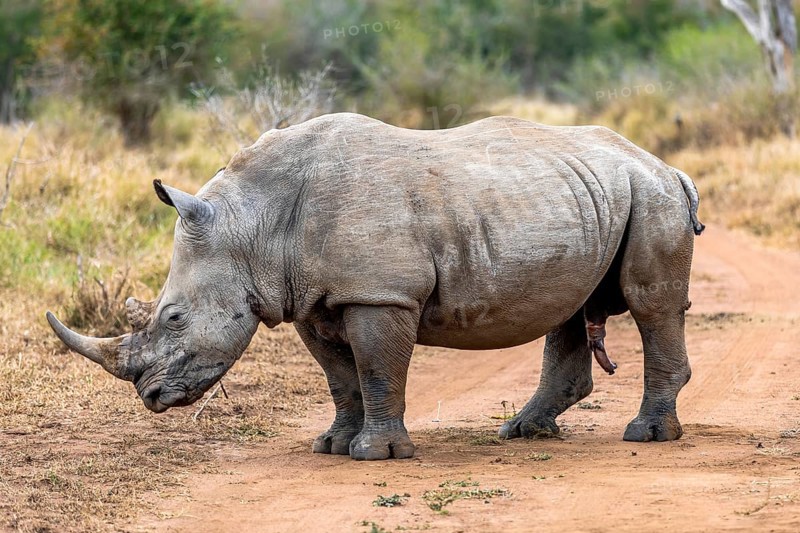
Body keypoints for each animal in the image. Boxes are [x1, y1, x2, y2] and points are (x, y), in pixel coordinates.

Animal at [47, 113, 704, 460]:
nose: (151, 397)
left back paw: (648, 436)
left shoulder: (379, 292)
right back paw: (522, 432)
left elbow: (378, 368)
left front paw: (376, 454)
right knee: (569, 308)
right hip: (589, 195)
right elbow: (340, 377)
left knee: (651, 304)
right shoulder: (312, 299)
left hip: (651, 196)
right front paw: (333, 445)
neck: (252, 223)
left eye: (174, 318)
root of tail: (668, 165)